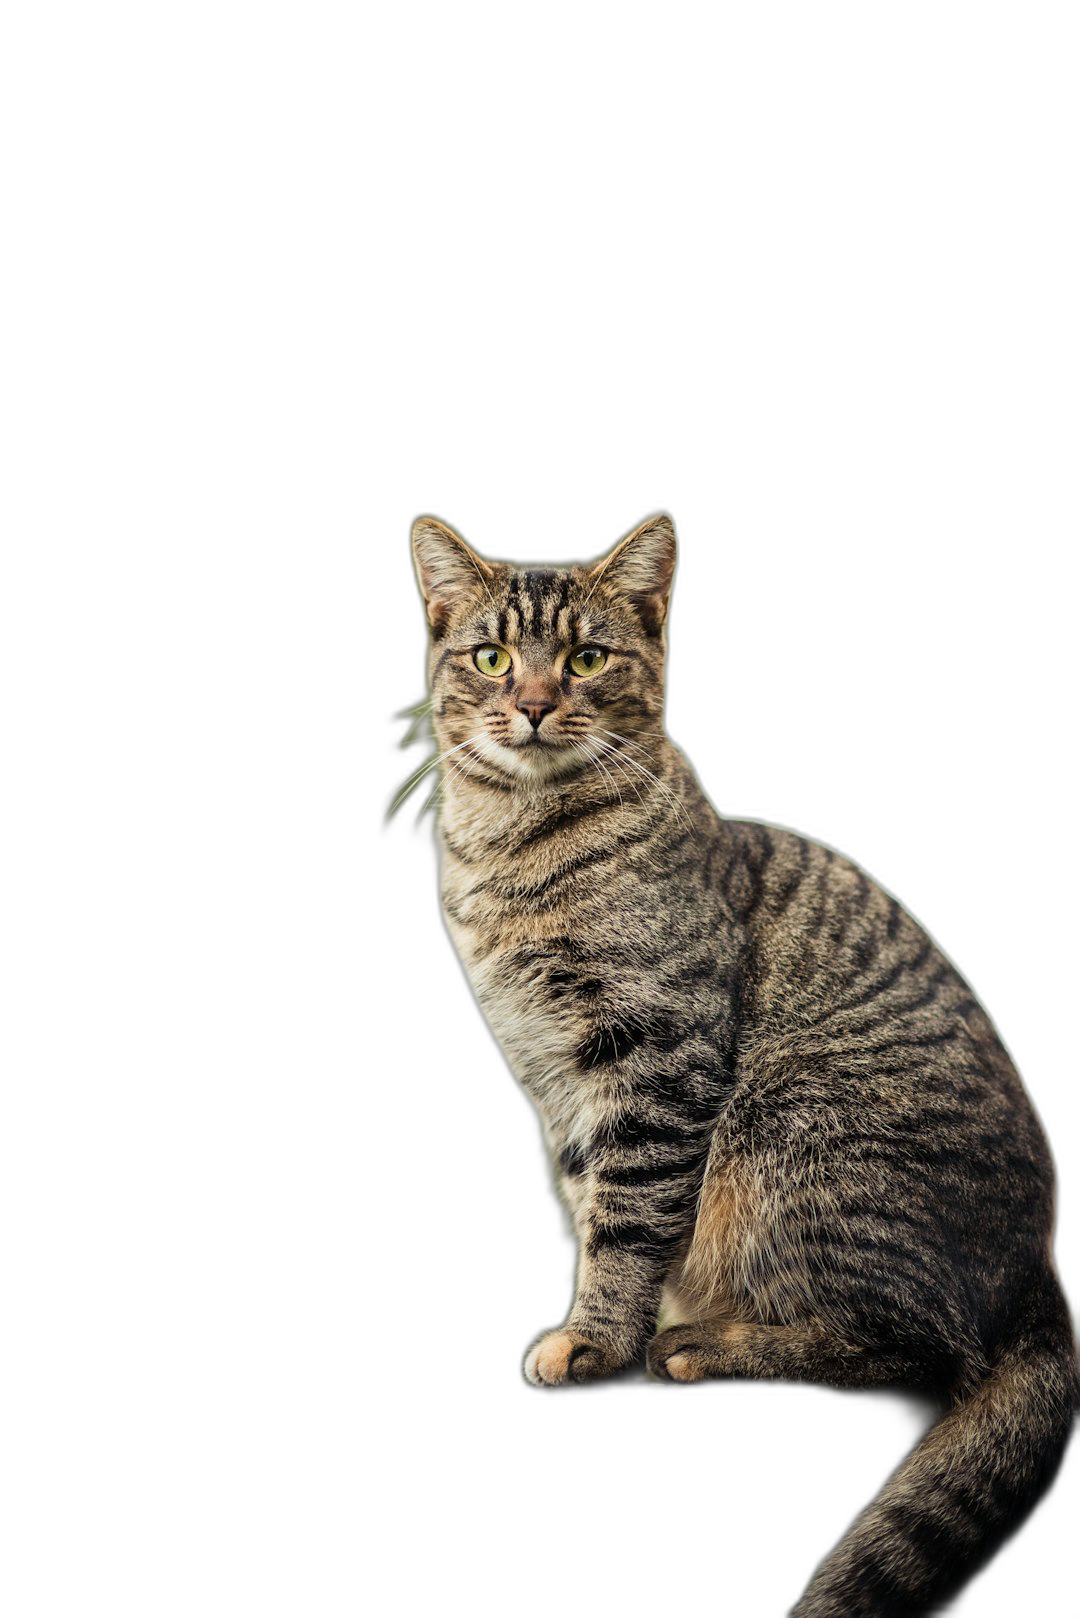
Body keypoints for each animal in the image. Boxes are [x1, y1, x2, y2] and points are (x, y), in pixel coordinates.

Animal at [408, 511, 1080, 1611]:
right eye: (494, 657)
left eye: (587, 658)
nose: (536, 704)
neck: (512, 856)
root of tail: (1044, 1273)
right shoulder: (557, 1085)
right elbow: (600, 1206)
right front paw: (610, 1326)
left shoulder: (655, 1055)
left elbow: (630, 1221)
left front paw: (598, 1343)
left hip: (789, 1137)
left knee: (918, 1358)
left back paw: (703, 1349)